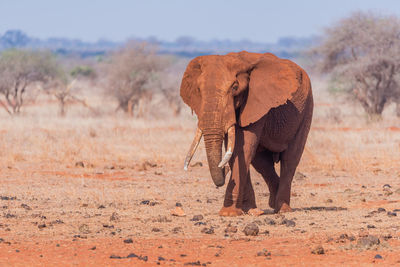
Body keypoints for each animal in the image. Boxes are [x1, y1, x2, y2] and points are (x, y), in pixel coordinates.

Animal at [180, 51, 314, 217]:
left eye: (235, 87)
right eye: (198, 90)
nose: (222, 170)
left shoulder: (257, 101)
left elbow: (241, 148)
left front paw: (228, 213)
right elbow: (237, 152)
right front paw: (247, 210)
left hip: (306, 108)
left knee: (290, 159)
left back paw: (282, 209)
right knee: (262, 163)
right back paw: (269, 204)